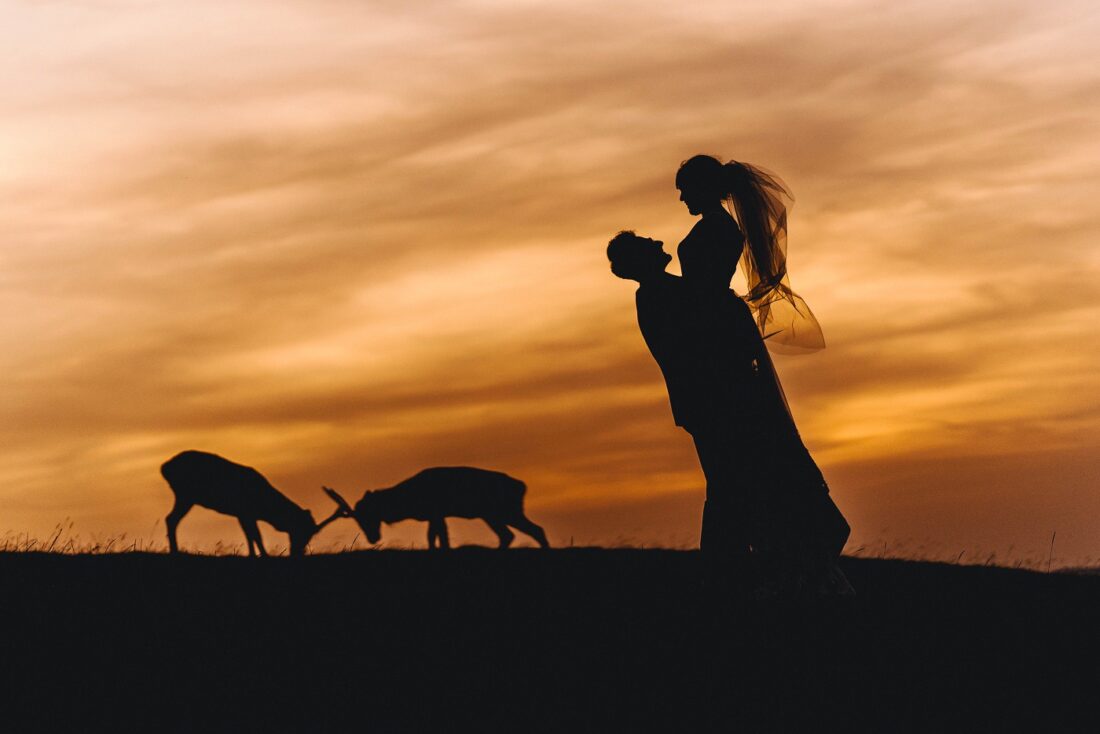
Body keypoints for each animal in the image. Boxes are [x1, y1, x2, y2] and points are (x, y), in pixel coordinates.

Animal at [159, 448, 345, 556]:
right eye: (303, 530)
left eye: (310, 534)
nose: (298, 552)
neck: (266, 509)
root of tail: (164, 467)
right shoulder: (247, 512)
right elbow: (257, 535)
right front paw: (264, 555)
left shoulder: (243, 514)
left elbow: (249, 535)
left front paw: (253, 554)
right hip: (185, 495)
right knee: (171, 518)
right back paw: (175, 551)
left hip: (185, 497)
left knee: (170, 518)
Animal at [323, 468, 550, 548]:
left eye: (368, 515)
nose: (373, 538)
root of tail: (522, 486)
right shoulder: (436, 516)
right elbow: (435, 538)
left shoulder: (436, 513)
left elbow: (439, 538)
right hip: (495, 515)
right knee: (512, 534)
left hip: (503, 513)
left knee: (532, 530)